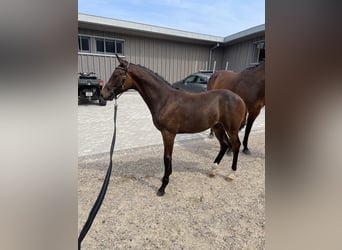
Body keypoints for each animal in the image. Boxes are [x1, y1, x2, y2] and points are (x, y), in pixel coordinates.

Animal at [100, 55, 247, 196]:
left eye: (116, 75)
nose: (103, 94)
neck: (165, 99)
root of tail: (240, 99)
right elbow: (168, 158)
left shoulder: (168, 133)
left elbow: (167, 157)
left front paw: (163, 187)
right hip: (217, 127)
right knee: (225, 144)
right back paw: (213, 170)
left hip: (231, 129)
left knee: (236, 145)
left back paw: (231, 174)